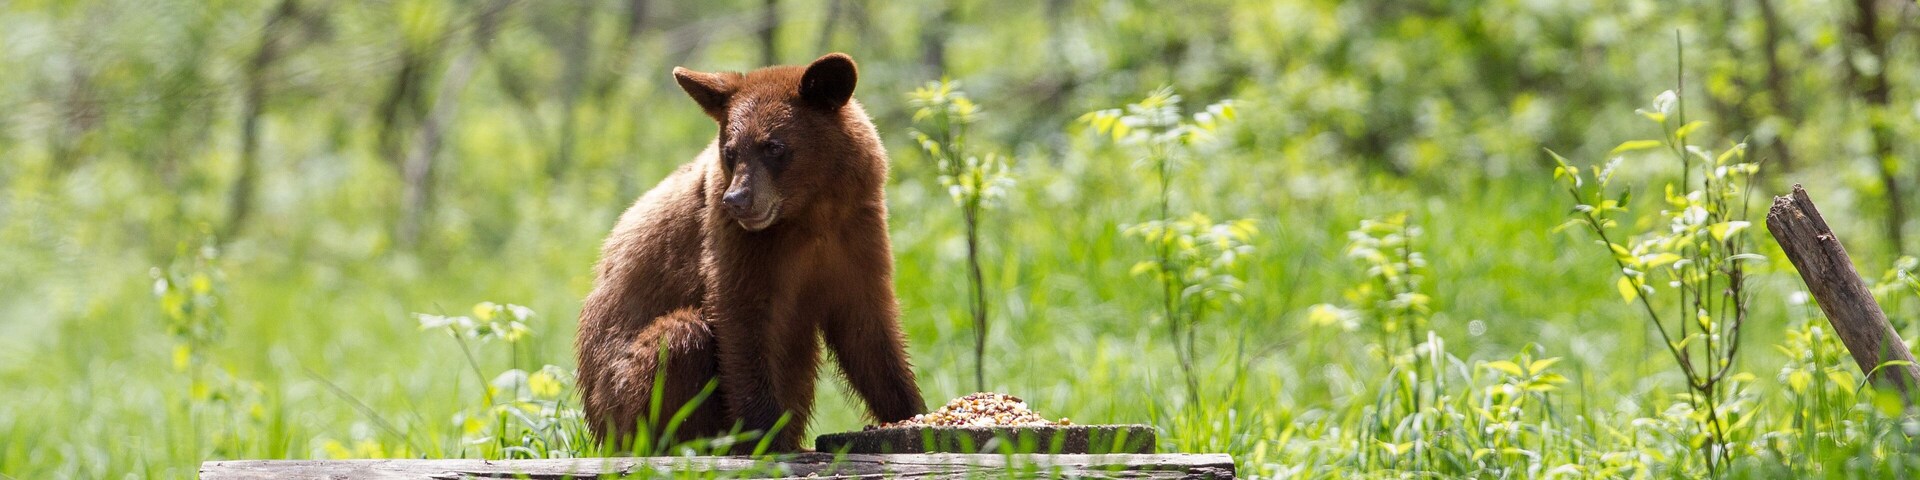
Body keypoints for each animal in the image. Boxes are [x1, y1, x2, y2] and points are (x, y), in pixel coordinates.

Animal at [574, 52, 927, 452]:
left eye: (773, 146)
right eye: (730, 151)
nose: (737, 199)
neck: (809, 215)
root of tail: (596, 428)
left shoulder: (855, 234)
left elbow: (867, 331)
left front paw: (912, 410)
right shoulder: (739, 245)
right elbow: (742, 323)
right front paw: (767, 437)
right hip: (619, 398)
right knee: (680, 338)